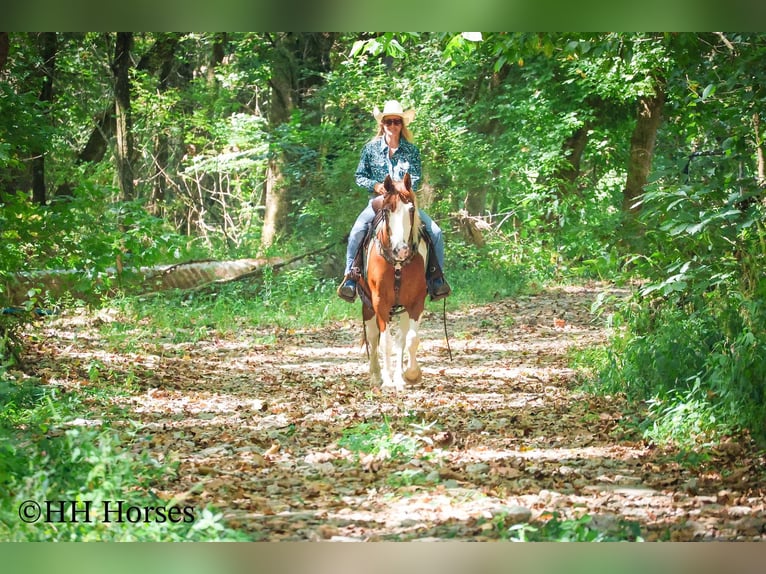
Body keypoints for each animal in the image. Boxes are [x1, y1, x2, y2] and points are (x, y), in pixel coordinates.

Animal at [360, 173, 428, 391]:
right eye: (387, 210)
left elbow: (410, 339)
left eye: (411, 209)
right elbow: (384, 342)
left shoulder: (416, 301)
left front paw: (411, 375)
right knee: (373, 337)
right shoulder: (379, 302)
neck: (398, 263)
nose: (401, 250)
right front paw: (387, 381)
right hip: (367, 305)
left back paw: (398, 377)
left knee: (401, 338)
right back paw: (377, 376)